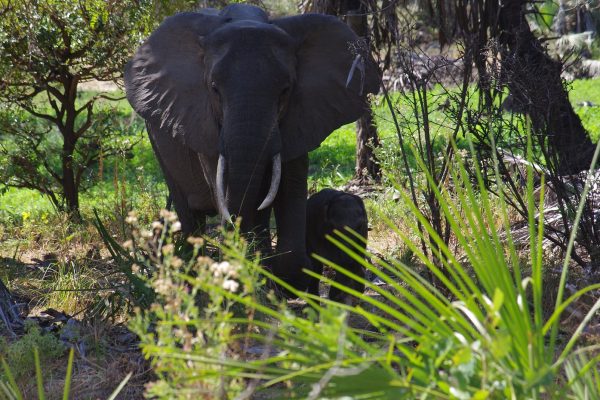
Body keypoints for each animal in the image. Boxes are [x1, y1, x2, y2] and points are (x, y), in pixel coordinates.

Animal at [125, 3, 380, 294]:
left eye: (285, 90)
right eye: (214, 89)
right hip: (157, 141)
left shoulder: (301, 116)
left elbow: (290, 183)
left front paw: (283, 279)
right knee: (188, 214)